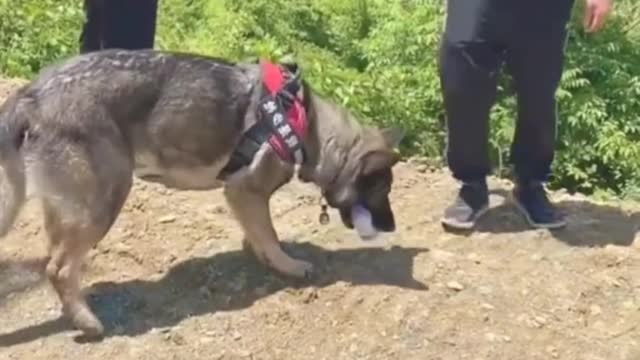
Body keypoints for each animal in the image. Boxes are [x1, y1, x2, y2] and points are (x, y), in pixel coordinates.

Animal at [0, 49, 402, 336]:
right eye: (382, 188)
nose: (393, 227)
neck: (308, 125)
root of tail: (32, 94)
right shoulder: (246, 190)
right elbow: (270, 235)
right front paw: (286, 264)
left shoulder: (245, 199)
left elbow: (258, 233)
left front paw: (259, 253)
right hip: (104, 199)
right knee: (59, 267)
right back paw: (87, 321)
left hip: (66, 204)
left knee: (55, 255)